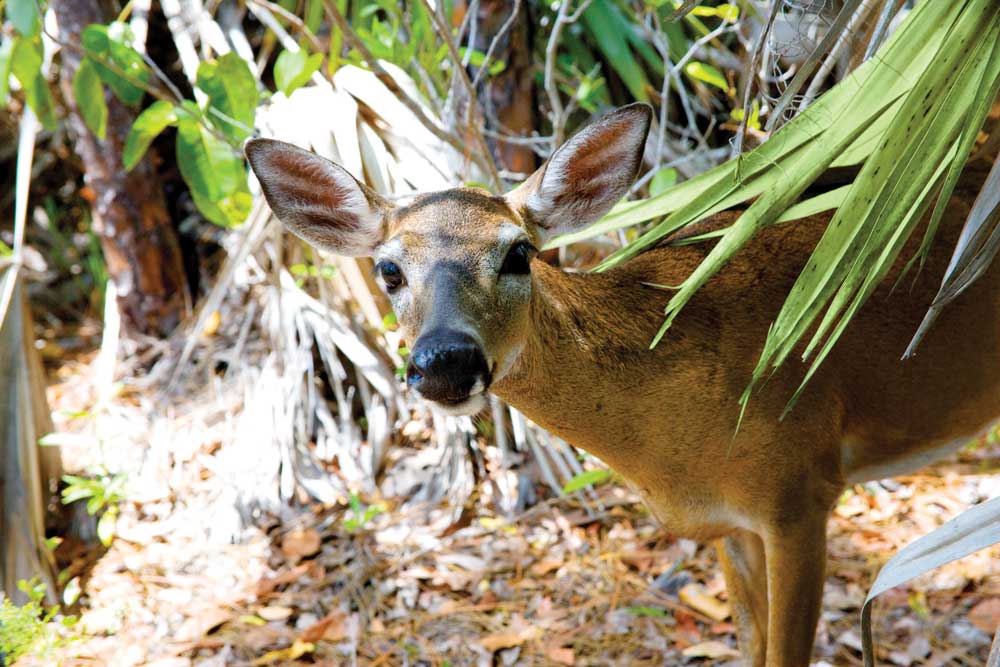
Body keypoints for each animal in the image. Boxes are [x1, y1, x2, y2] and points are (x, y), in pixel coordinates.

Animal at [246, 104, 1000, 667]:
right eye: (389, 270)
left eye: (518, 252)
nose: (446, 361)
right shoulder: (732, 523)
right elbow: (751, 646)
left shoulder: (801, 488)